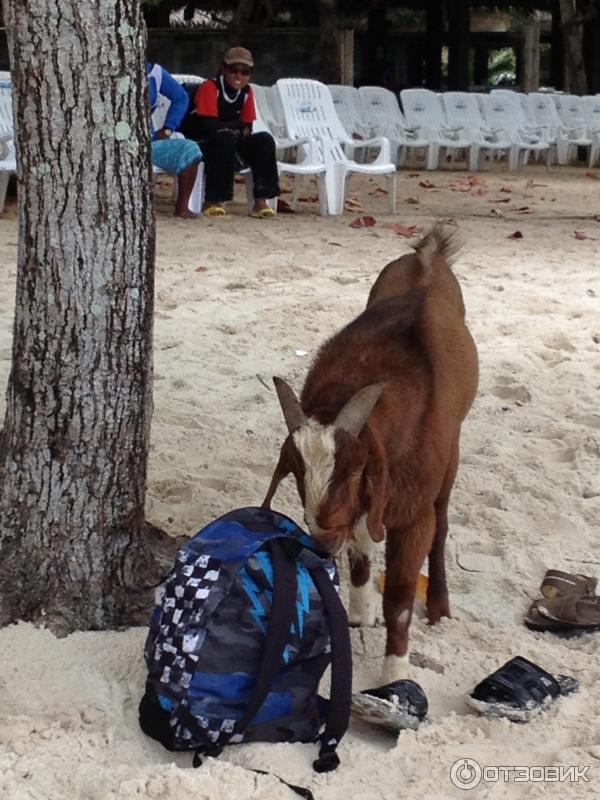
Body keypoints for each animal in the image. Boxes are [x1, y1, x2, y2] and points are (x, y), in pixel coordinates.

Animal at [262, 227, 478, 688]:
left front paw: (395, 671)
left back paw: (439, 604)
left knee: (442, 522)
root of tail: (429, 256)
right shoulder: (367, 500)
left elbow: (399, 592)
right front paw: (360, 612)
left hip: (452, 450)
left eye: (356, 468)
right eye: (297, 473)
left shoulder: (411, 508)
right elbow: (360, 543)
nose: (322, 540)